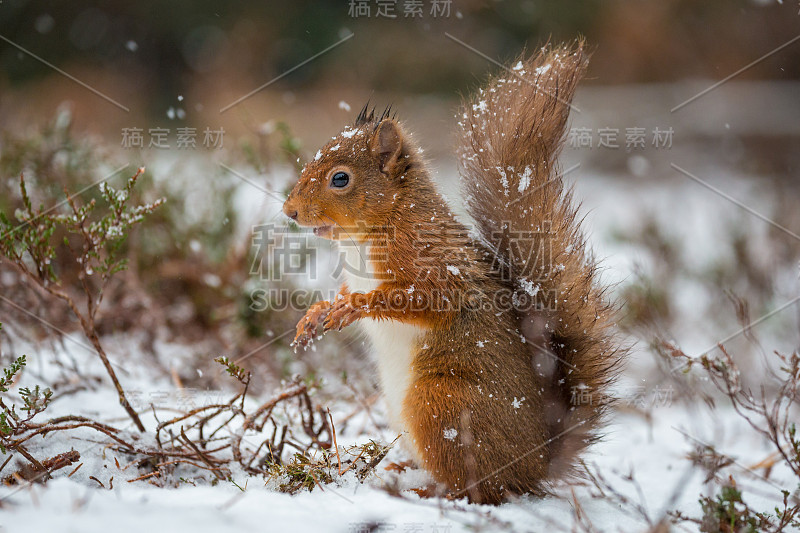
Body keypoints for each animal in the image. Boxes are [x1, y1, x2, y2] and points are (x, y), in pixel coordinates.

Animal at [284, 42, 620, 502]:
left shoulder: (434, 264)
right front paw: (316, 313)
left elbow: (426, 300)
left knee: (479, 488)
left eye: (340, 179)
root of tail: (537, 465)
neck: (380, 227)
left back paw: (430, 491)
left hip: (440, 403)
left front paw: (356, 306)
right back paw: (401, 470)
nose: (289, 210)